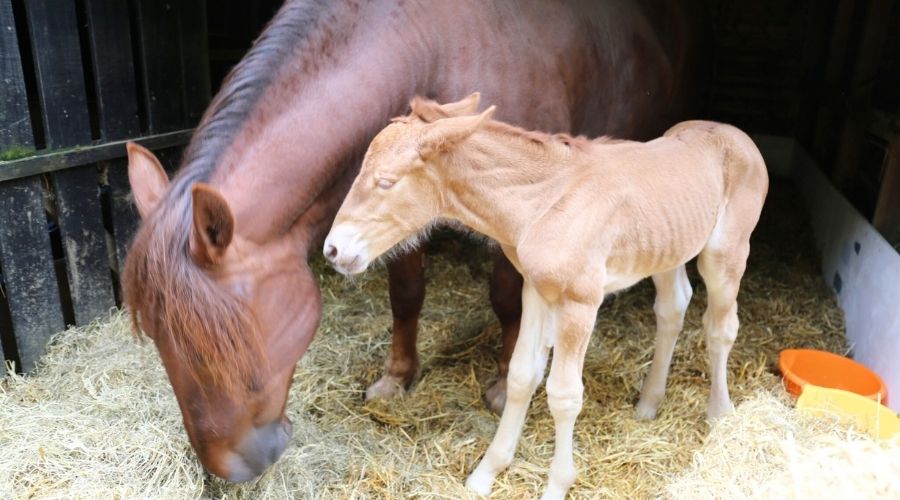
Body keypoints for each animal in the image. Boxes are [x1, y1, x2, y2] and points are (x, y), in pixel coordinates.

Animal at [123, 0, 708, 484]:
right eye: (154, 335)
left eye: (222, 339)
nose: (233, 469)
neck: (429, 48)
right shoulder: (391, 216)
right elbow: (405, 296)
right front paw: (397, 377)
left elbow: (506, 300)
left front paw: (502, 383)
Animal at [322, 94, 768, 500]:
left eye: (386, 181)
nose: (333, 250)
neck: (544, 202)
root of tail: (732, 132)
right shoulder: (535, 289)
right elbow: (522, 376)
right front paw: (485, 474)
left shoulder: (580, 302)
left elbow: (564, 394)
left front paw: (557, 485)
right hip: (666, 250)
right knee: (673, 307)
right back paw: (648, 404)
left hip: (726, 253)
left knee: (720, 325)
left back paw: (719, 413)